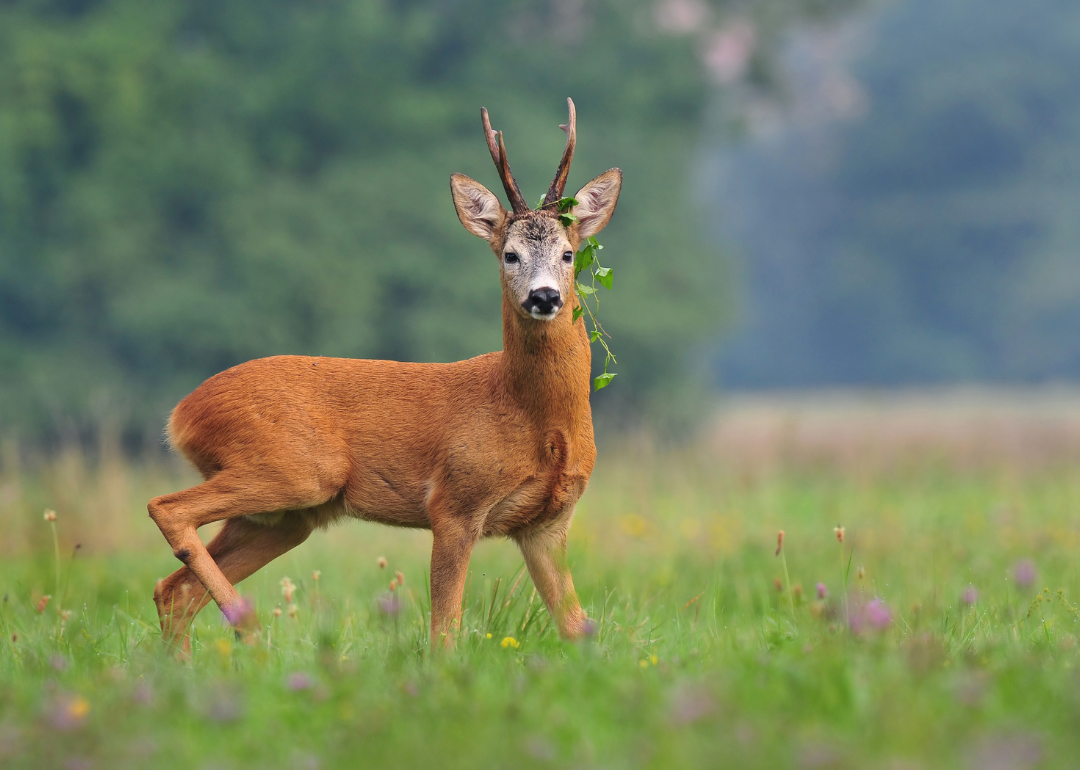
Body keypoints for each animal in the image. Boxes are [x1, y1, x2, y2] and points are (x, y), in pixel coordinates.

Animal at [151, 96, 626, 647]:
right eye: (510, 254)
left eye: (568, 253)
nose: (544, 296)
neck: (535, 419)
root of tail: (180, 415)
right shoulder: (454, 503)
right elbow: (444, 630)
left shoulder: (547, 524)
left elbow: (577, 628)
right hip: (294, 470)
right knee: (166, 510)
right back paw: (250, 628)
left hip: (283, 516)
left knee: (174, 589)